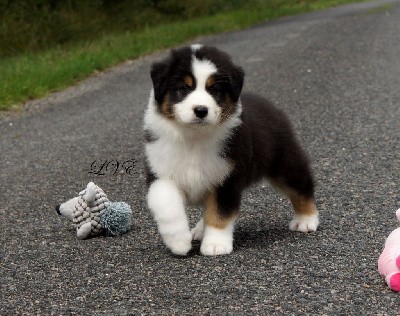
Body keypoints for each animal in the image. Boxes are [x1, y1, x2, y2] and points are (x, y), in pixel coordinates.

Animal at [144, 44, 318, 256]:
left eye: (214, 89)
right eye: (183, 88)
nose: (201, 110)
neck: (194, 137)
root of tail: (271, 106)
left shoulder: (227, 176)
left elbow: (220, 212)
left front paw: (215, 245)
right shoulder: (160, 171)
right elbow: (167, 204)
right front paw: (179, 242)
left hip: (284, 161)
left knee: (302, 186)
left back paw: (306, 220)